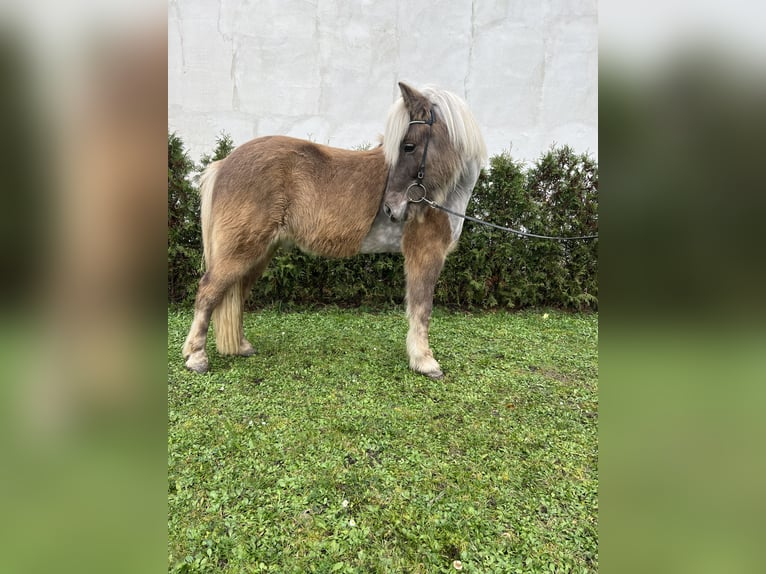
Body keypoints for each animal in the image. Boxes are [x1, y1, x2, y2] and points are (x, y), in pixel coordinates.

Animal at [183, 81, 488, 378]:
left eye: (409, 146)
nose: (391, 209)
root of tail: (224, 163)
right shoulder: (425, 254)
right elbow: (421, 307)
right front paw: (425, 361)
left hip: (259, 253)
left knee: (236, 294)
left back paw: (241, 346)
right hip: (241, 250)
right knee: (208, 290)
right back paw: (196, 357)